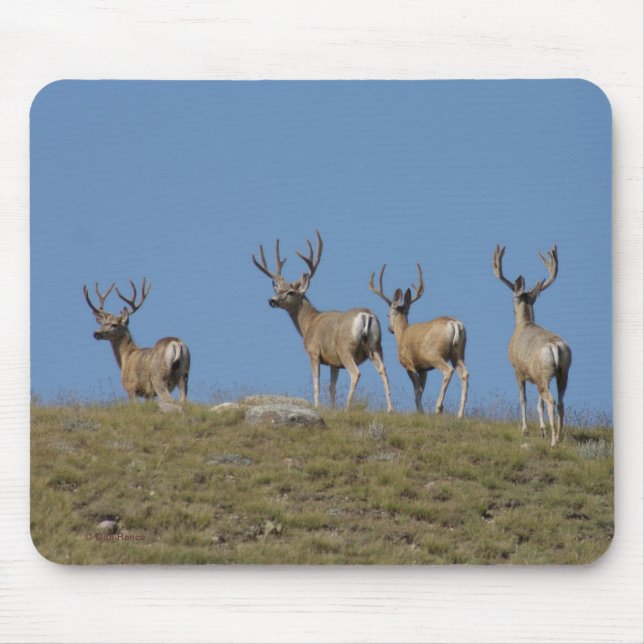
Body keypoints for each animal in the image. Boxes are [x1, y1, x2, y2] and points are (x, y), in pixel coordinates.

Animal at [83, 278, 190, 406]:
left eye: (114, 324)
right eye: (103, 323)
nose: (96, 333)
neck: (126, 356)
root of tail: (176, 343)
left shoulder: (130, 386)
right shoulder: (149, 394)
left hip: (159, 377)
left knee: (170, 399)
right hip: (184, 374)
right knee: (184, 399)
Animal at [252, 230, 394, 412]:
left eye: (290, 292)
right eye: (278, 290)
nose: (271, 300)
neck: (308, 324)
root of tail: (365, 315)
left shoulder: (314, 352)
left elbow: (316, 383)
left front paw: (317, 406)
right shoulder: (334, 362)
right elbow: (331, 387)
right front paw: (332, 408)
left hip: (345, 347)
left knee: (356, 373)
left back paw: (347, 407)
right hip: (376, 345)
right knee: (383, 370)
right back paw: (390, 409)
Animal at [369, 263, 469, 418]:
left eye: (387, 315)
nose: (390, 329)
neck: (402, 335)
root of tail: (454, 324)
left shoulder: (408, 363)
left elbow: (417, 390)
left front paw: (420, 412)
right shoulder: (423, 368)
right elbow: (421, 390)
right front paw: (420, 411)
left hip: (434, 354)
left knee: (448, 371)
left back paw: (439, 407)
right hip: (458, 353)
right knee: (465, 374)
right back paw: (460, 415)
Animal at [492, 244, 572, 447]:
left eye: (512, 299)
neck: (523, 324)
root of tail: (556, 346)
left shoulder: (517, 369)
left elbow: (523, 399)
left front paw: (525, 430)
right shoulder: (535, 376)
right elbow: (538, 404)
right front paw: (542, 430)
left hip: (543, 374)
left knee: (551, 401)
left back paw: (554, 441)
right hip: (562, 372)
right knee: (560, 402)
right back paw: (560, 435)